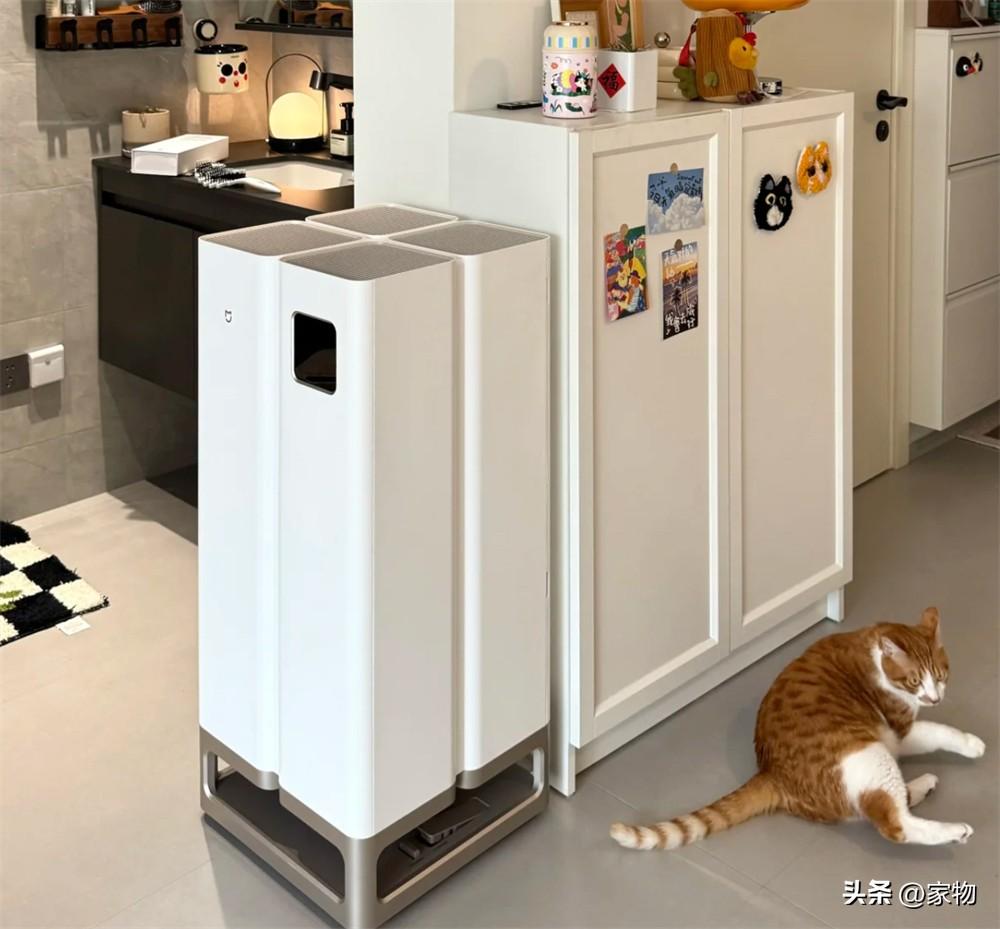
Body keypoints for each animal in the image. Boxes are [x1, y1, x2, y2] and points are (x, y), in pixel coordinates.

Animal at [610, 608, 986, 849]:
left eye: (941, 675)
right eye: (914, 680)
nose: (935, 697)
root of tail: (771, 772)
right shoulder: (899, 730)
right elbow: (941, 731)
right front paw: (974, 744)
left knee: (885, 805)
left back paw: (923, 785)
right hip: (870, 753)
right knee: (894, 824)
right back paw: (955, 830)